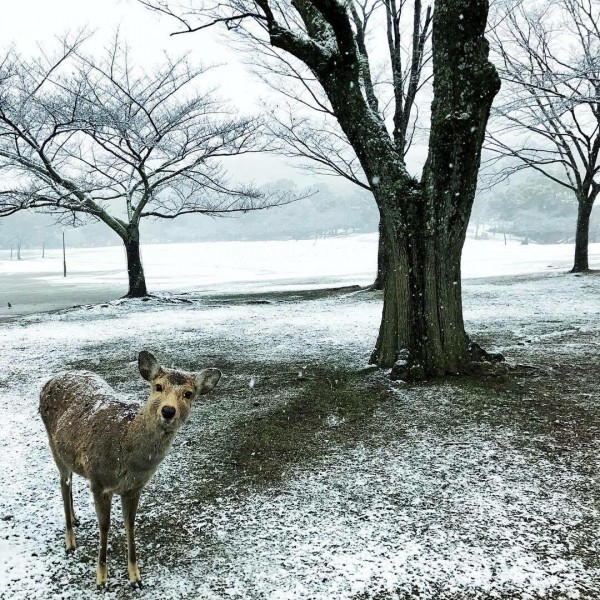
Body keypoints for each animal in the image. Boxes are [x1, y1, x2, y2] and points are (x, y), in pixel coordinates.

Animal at [40, 350, 223, 588]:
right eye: (158, 386)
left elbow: (130, 525)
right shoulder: (98, 480)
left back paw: (75, 518)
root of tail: (50, 381)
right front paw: (101, 578)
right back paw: (70, 542)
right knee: (64, 483)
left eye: (189, 393)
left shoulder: (135, 488)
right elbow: (105, 525)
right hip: (54, 447)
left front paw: (135, 576)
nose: (168, 411)